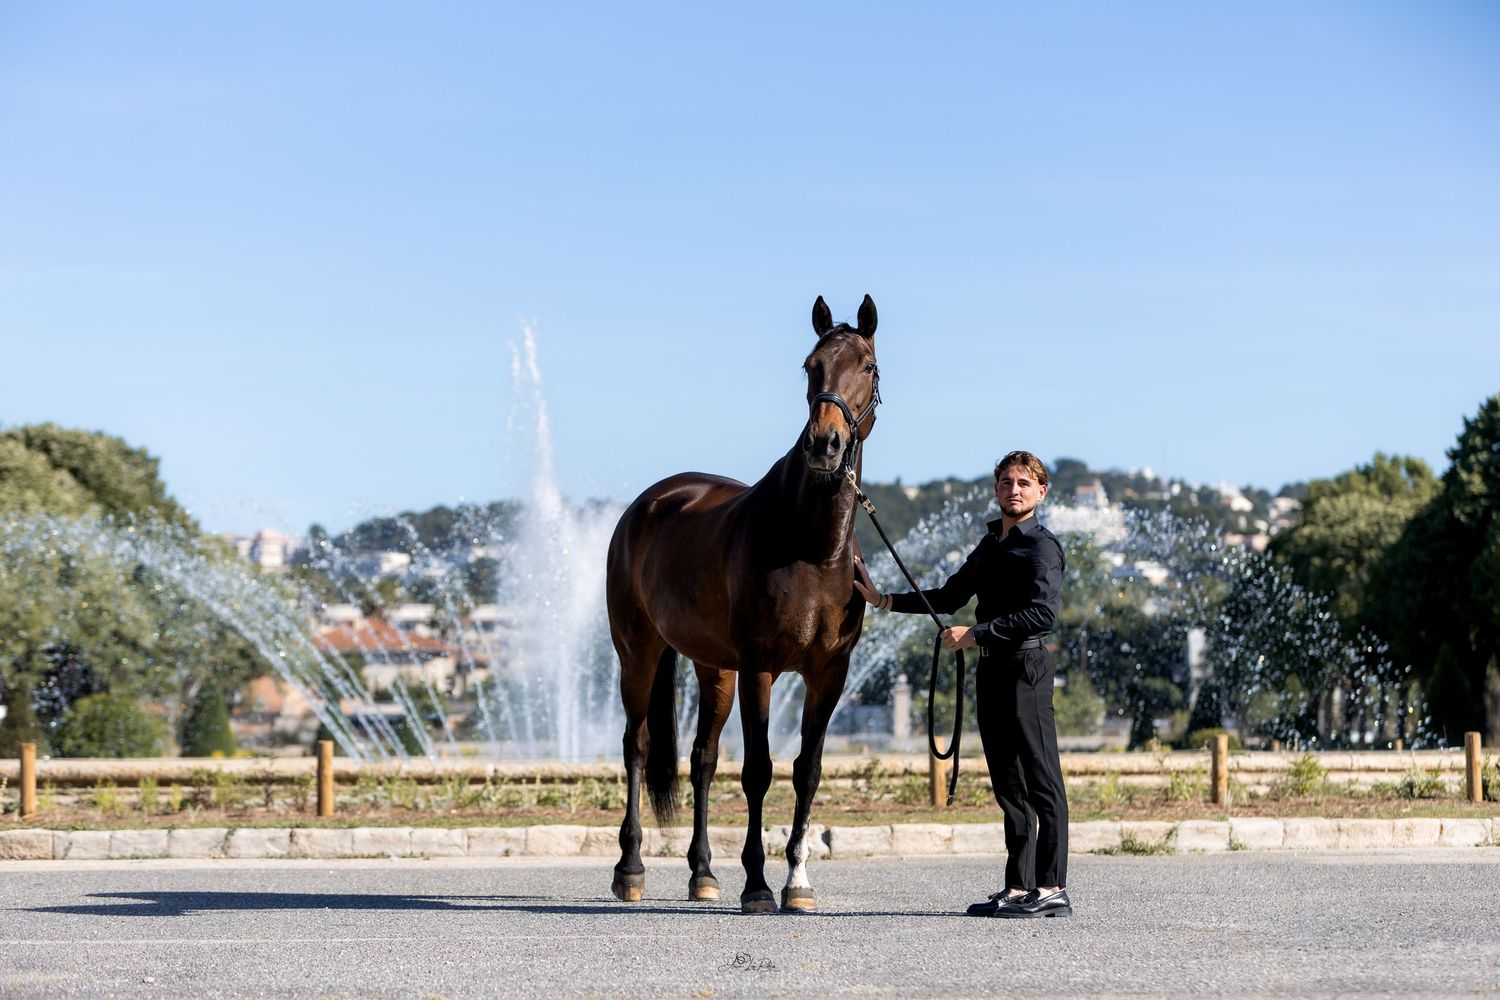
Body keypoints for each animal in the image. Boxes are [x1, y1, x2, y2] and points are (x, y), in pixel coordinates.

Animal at [605, 294, 881, 914]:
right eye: (810, 366)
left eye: (868, 366)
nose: (824, 445)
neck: (811, 546)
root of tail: (649, 503)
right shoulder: (761, 667)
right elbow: (759, 770)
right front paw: (756, 884)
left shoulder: (829, 673)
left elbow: (807, 771)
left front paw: (797, 881)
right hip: (639, 652)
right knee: (637, 746)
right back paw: (630, 870)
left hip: (715, 669)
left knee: (702, 760)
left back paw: (703, 874)